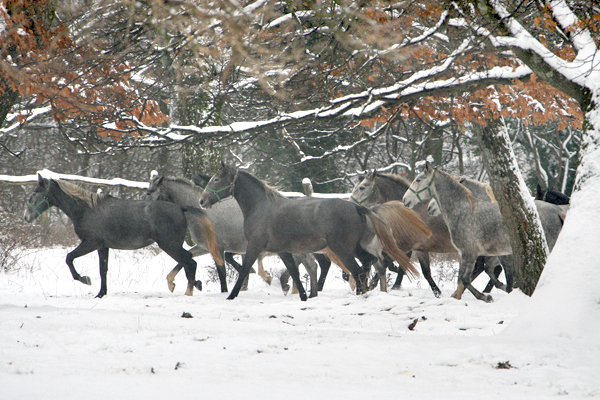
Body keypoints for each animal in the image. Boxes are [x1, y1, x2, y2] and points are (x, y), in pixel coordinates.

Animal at [23, 174, 221, 296]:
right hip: (172, 245)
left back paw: (187, 290)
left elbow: (69, 258)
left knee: (189, 262)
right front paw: (101, 294)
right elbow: (103, 270)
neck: (87, 209)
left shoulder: (90, 243)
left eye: (34, 194)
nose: (26, 217)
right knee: (188, 261)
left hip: (169, 245)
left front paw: (85, 280)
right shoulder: (102, 247)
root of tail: (181, 208)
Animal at [199, 163, 420, 300]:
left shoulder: (254, 246)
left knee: (358, 270)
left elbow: (245, 269)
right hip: (355, 248)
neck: (261, 207)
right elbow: (294, 273)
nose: (202, 201)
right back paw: (364, 291)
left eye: (216, 179)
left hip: (342, 249)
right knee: (368, 264)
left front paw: (231, 295)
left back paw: (360, 293)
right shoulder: (282, 250)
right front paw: (304, 296)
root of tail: (356, 207)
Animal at [404, 162, 568, 304]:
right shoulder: (467, 254)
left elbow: (466, 279)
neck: (464, 210)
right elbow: (463, 279)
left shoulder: (471, 253)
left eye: (418, 179)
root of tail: (557, 211)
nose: (405, 200)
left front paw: (485, 297)